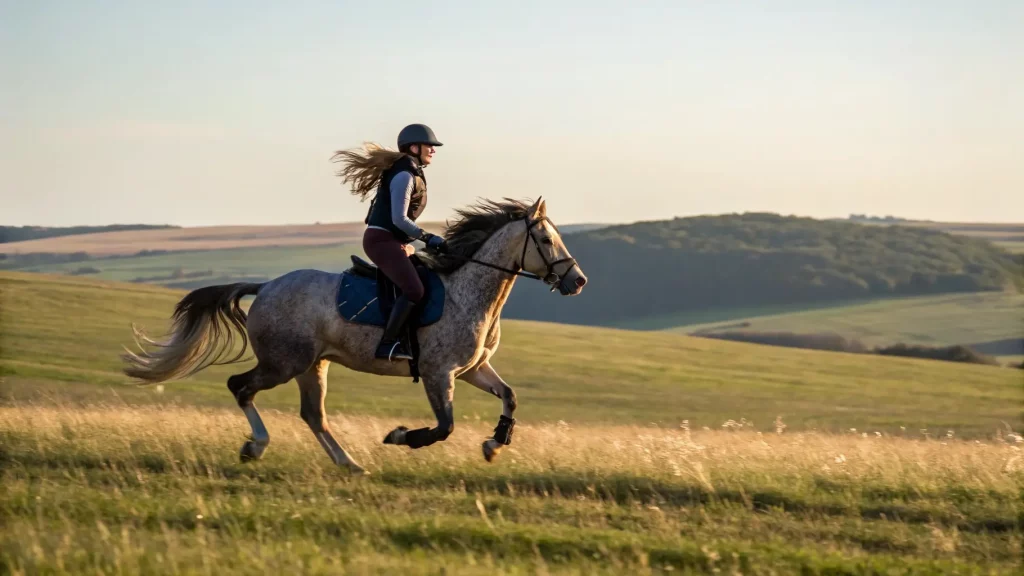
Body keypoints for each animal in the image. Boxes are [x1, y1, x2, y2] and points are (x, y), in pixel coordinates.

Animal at [121, 196, 585, 471]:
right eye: (546, 240)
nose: (577, 281)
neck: (468, 291)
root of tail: (265, 286)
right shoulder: (439, 373)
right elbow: (444, 427)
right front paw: (400, 436)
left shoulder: (472, 369)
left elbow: (510, 396)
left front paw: (495, 443)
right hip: (284, 362)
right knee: (241, 387)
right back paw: (257, 445)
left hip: (313, 365)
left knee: (313, 415)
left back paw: (349, 464)